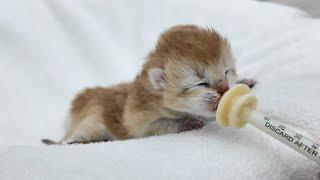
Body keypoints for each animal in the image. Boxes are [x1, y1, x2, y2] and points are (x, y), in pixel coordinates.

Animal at [42, 24, 256, 145]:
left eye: (226, 72)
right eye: (201, 83)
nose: (224, 88)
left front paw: (244, 81)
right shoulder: (138, 121)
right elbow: (161, 125)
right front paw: (187, 122)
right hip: (92, 119)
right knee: (70, 137)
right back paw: (73, 142)